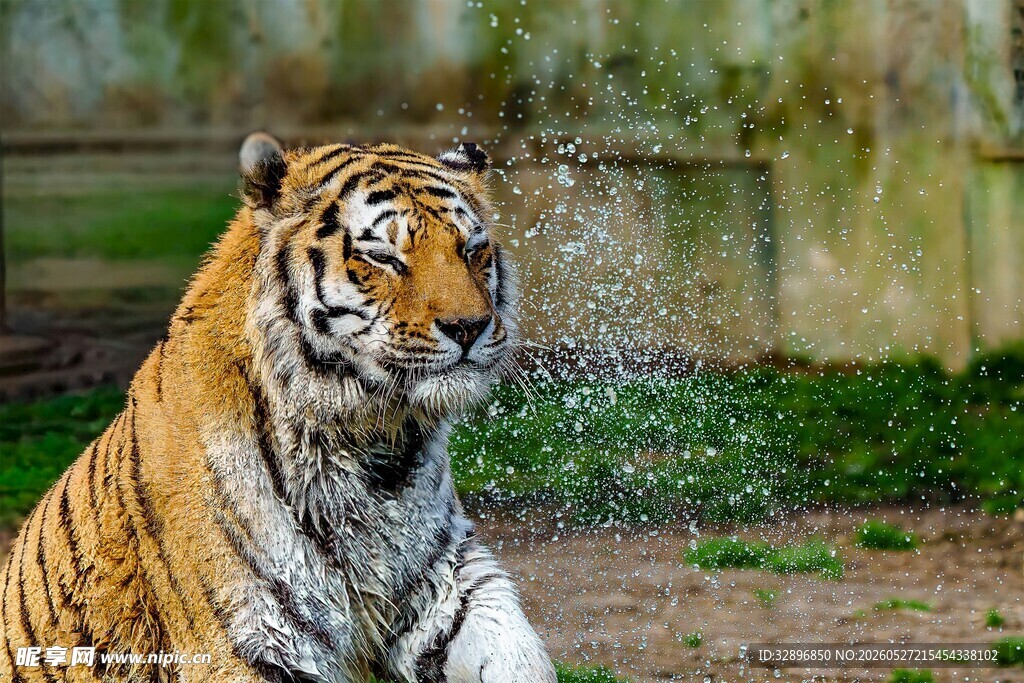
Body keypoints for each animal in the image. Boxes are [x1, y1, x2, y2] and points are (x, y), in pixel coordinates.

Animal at [0, 132, 557, 683]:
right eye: (383, 257)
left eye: (472, 249)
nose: (470, 327)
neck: (375, 443)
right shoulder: (248, 638)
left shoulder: (446, 584)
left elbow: (517, 655)